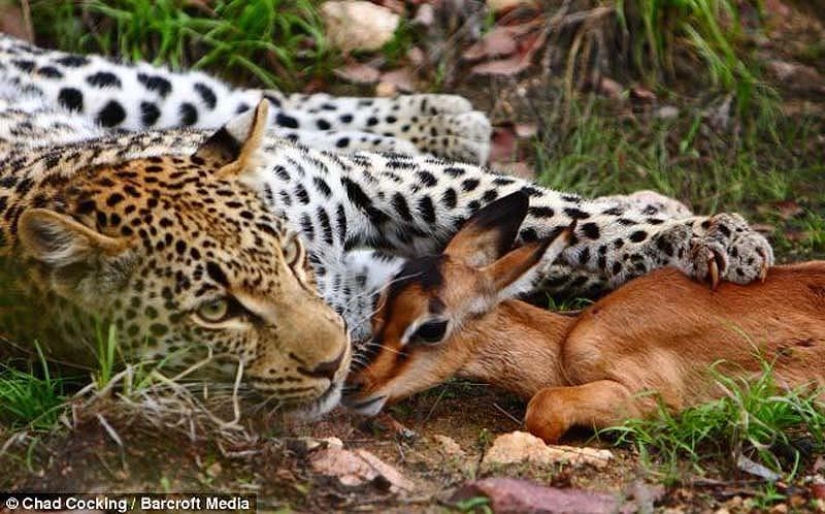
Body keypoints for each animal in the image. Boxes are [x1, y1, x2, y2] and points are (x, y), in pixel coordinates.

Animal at [343, 192, 825, 442]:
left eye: (432, 326)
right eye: (380, 305)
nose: (356, 385)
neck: (569, 335)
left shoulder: (651, 397)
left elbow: (542, 409)